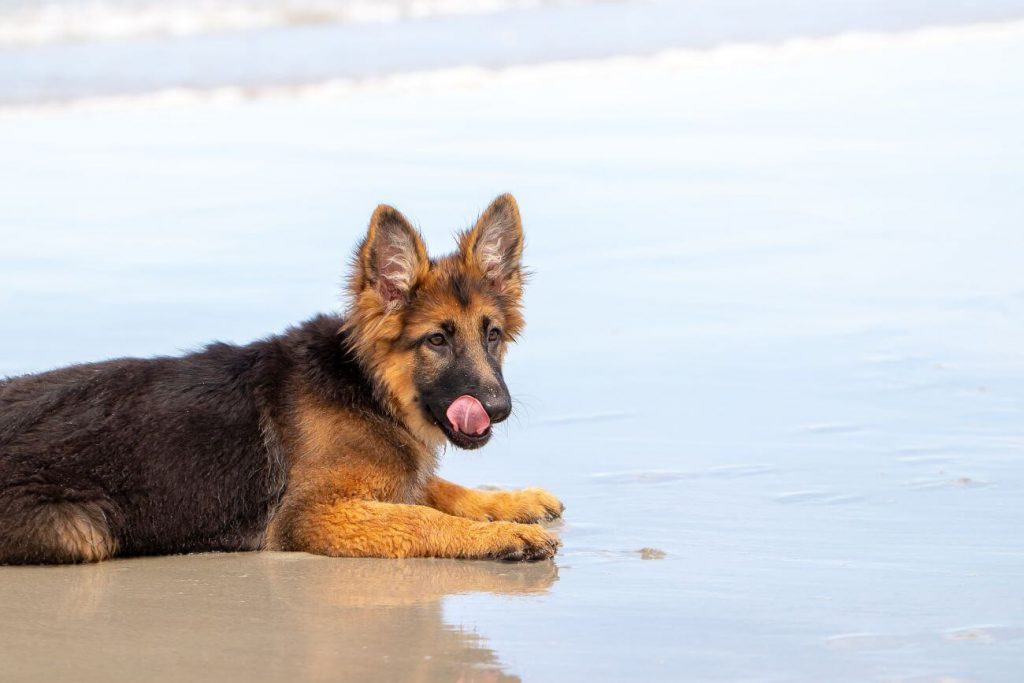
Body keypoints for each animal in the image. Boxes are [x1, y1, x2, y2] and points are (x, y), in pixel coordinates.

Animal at [0, 193, 561, 565]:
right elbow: (422, 516)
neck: (366, 388)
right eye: (438, 340)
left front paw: (512, 503)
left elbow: (441, 489)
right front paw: (502, 534)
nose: (500, 408)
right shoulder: (314, 515)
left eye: (492, 335)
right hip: (85, 530)